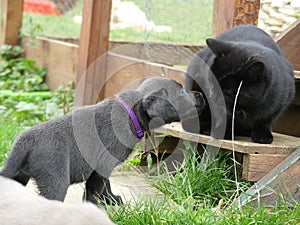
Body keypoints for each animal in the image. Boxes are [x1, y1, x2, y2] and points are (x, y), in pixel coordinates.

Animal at [0, 78, 204, 206]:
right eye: (181, 92)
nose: (201, 95)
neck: (131, 114)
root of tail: (24, 142)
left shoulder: (105, 168)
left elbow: (106, 186)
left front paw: (111, 200)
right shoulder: (101, 166)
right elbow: (94, 190)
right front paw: (97, 207)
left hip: (19, 175)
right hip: (56, 180)